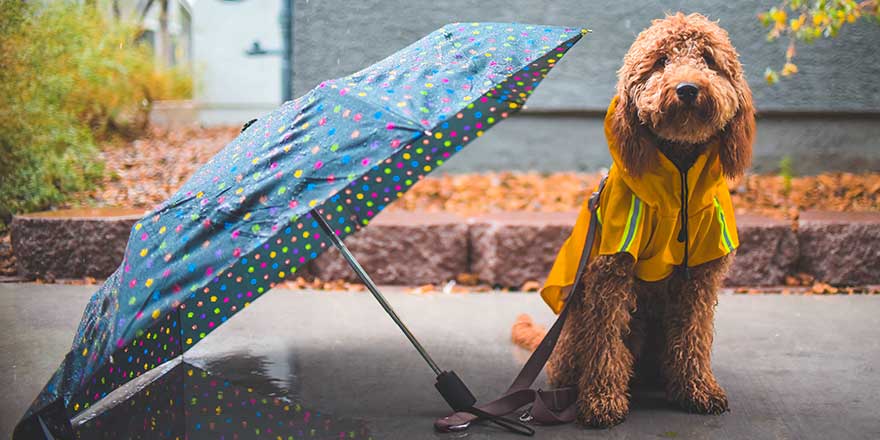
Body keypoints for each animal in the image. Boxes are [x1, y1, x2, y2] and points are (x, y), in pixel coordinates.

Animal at [516, 12, 756, 426]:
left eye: (708, 59)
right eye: (660, 61)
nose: (688, 88)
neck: (679, 174)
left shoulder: (701, 277)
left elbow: (693, 335)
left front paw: (698, 389)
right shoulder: (611, 273)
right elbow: (605, 342)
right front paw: (601, 400)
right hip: (575, 332)